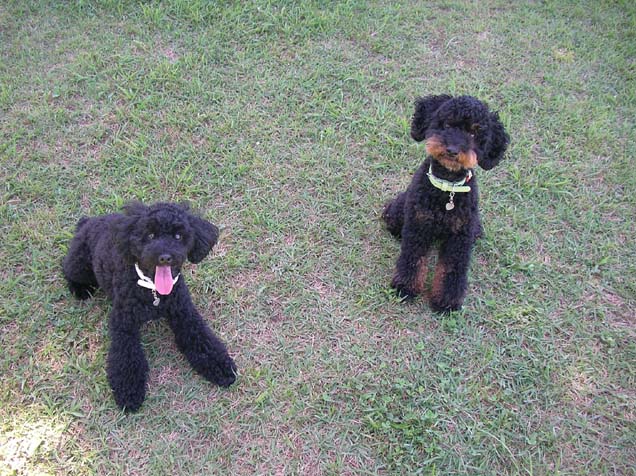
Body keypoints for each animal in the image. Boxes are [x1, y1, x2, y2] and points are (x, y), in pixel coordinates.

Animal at [63, 202, 237, 411]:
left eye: (178, 236)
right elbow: (126, 356)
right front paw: (129, 392)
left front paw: (221, 367)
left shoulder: (184, 313)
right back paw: (80, 289)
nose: (165, 257)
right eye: (151, 235)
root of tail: (87, 222)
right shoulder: (124, 324)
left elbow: (202, 340)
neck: (152, 290)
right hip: (80, 263)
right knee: (68, 269)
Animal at [383, 94, 509, 313]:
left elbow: (452, 268)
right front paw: (406, 287)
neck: (447, 187)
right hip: (397, 213)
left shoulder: (460, 236)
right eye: (448, 124)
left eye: (474, 133)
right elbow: (413, 257)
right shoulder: (418, 225)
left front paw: (446, 301)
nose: (452, 150)